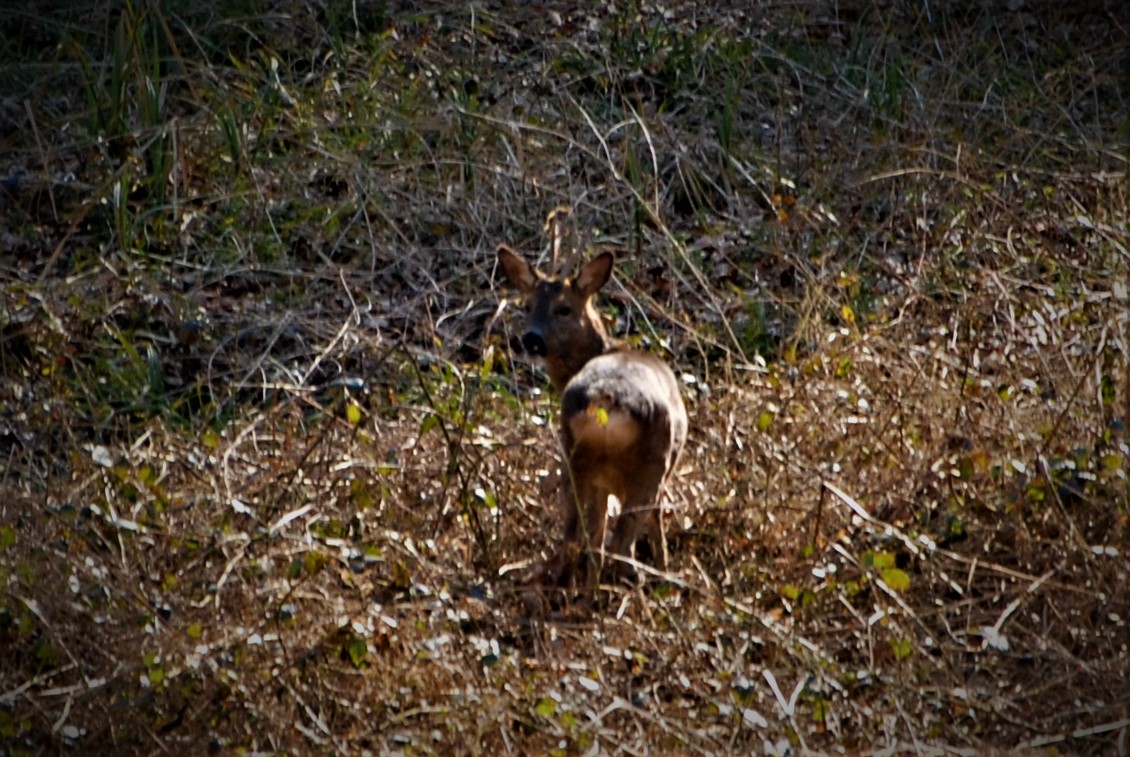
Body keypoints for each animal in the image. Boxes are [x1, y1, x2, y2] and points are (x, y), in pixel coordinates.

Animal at [497, 243, 687, 601]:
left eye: (564, 309)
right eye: (527, 306)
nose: (531, 339)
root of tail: (604, 399)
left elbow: (594, 535)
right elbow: (655, 526)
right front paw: (666, 570)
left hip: (574, 457)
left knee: (576, 536)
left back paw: (580, 599)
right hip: (651, 464)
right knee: (621, 545)